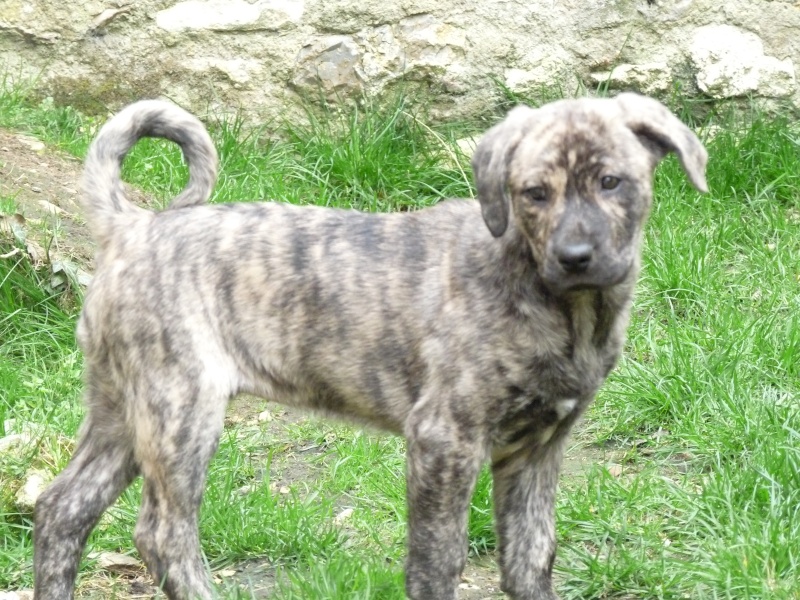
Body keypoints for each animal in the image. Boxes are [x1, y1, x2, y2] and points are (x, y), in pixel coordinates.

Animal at [32, 94, 708, 600]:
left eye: (611, 182)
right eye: (534, 193)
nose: (575, 257)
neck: (557, 302)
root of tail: (133, 227)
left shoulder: (537, 450)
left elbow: (531, 557)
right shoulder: (444, 439)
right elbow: (438, 560)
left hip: (123, 406)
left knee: (63, 508)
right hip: (180, 409)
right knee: (162, 533)